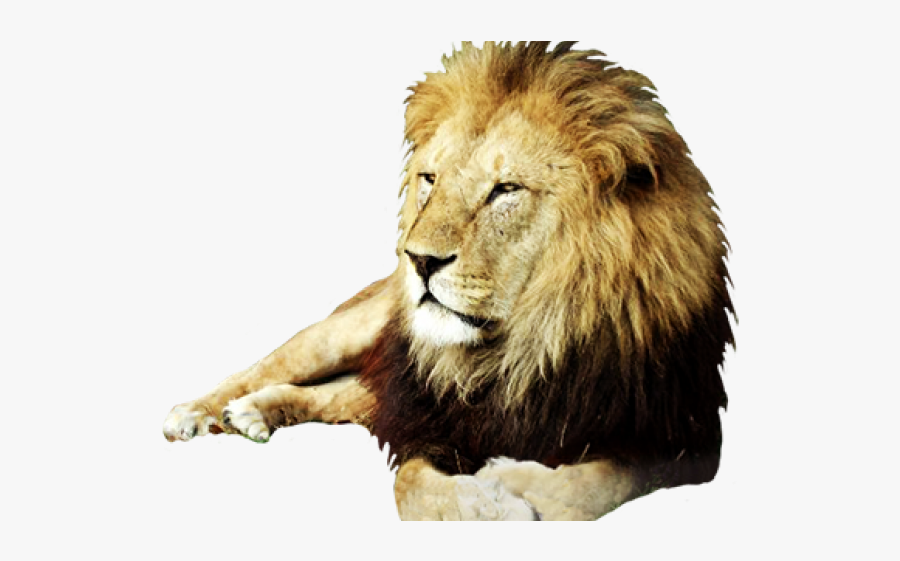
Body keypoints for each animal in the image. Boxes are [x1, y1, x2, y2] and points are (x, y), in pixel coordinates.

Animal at [163, 41, 734, 521]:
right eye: (430, 180)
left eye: (505, 189)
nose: (417, 260)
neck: (527, 348)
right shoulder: (429, 419)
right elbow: (413, 489)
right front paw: (492, 506)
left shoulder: (686, 437)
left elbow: (595, 483)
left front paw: (518, 484)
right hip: (348, 333)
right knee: (269, 366)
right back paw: (200, 411)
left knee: (337, 397)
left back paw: (255, 414)